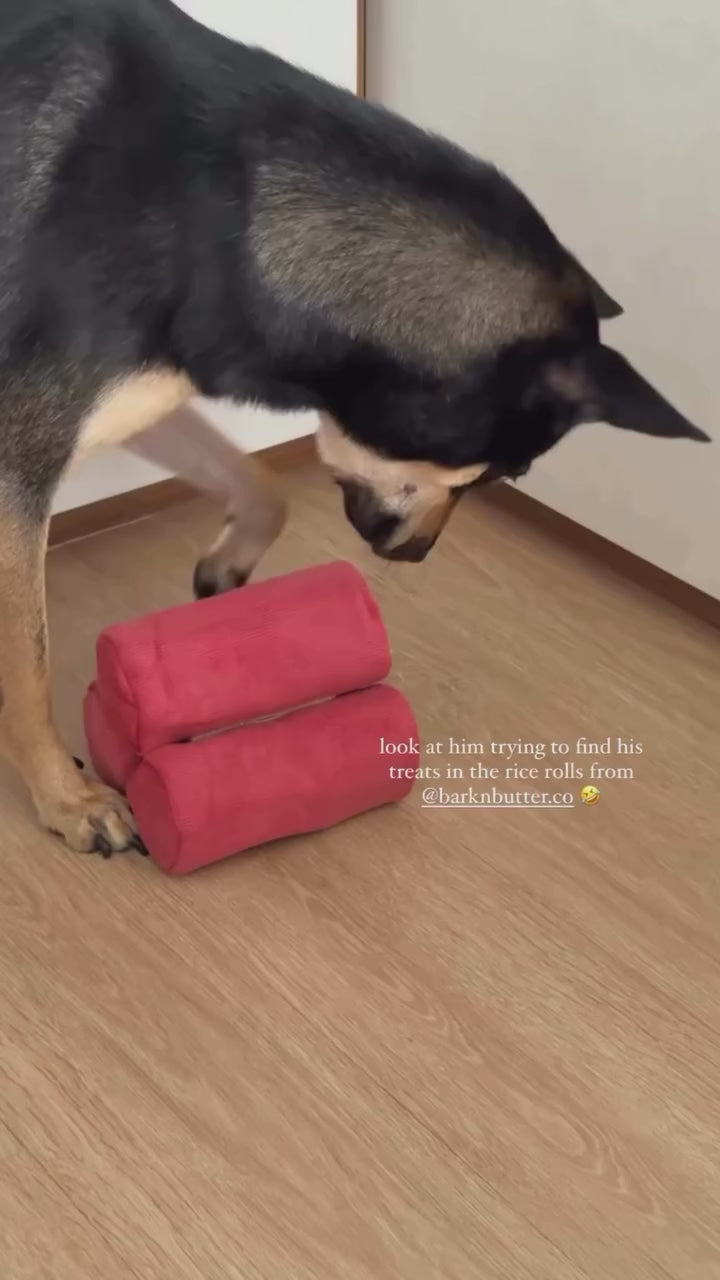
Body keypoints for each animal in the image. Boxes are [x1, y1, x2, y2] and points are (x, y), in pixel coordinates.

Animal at [0, 0, 709, 854]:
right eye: (509, 471)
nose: (419, 557)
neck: (220, 205)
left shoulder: (137, 396)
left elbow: (265, 484)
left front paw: (227, 568)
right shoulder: (21, 458)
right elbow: (29, 662)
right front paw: (67, 799)